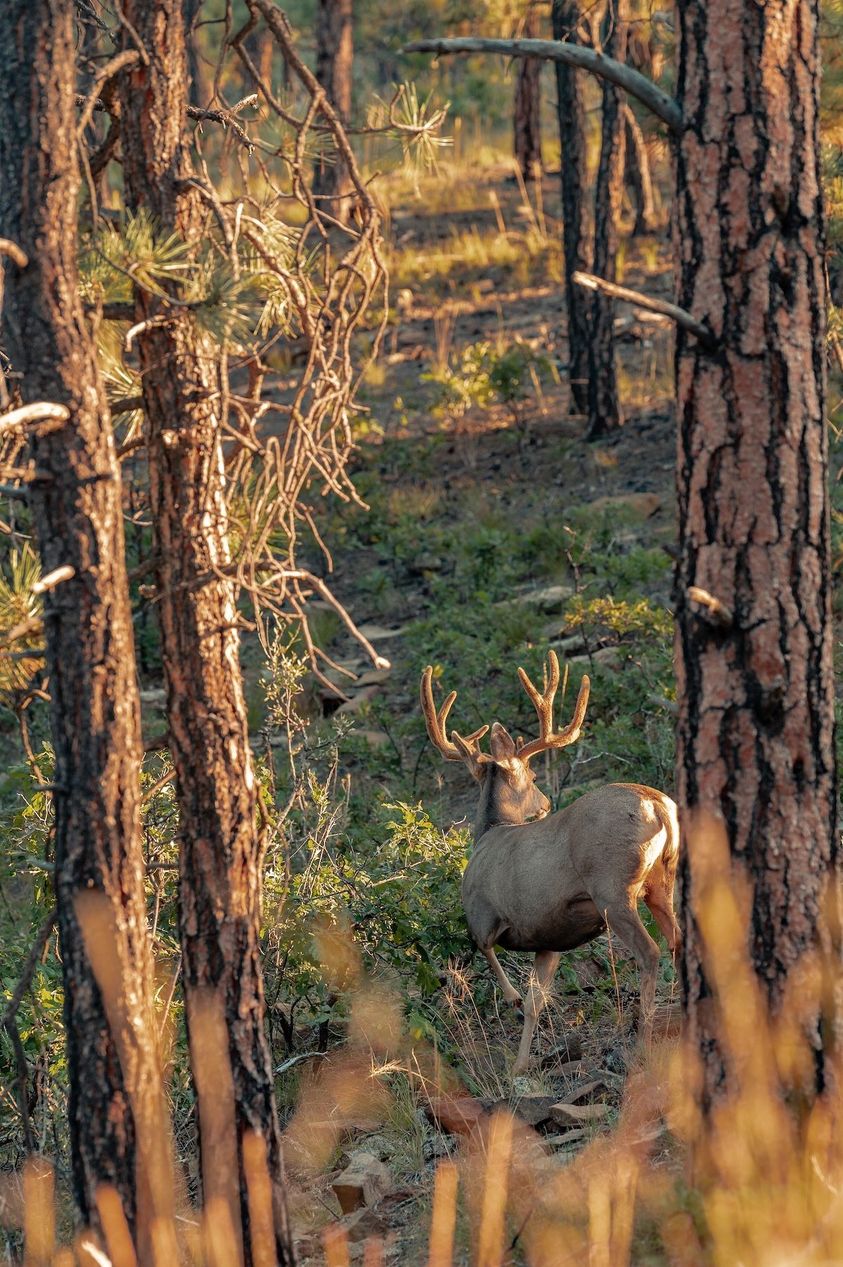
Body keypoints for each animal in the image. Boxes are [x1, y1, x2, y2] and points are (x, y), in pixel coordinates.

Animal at [420, 652, 680, 1076]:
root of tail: (657, 804)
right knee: (677, 942)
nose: (543, 804)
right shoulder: (550, 937)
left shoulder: (483, 912)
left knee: (650, 952)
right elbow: (535, 1000)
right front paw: (520, 1065)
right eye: (533, 774)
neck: (490, 833)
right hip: (662, 882)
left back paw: (642, 1045)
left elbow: (488, 954)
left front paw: (510, 1003)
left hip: (612, 887)